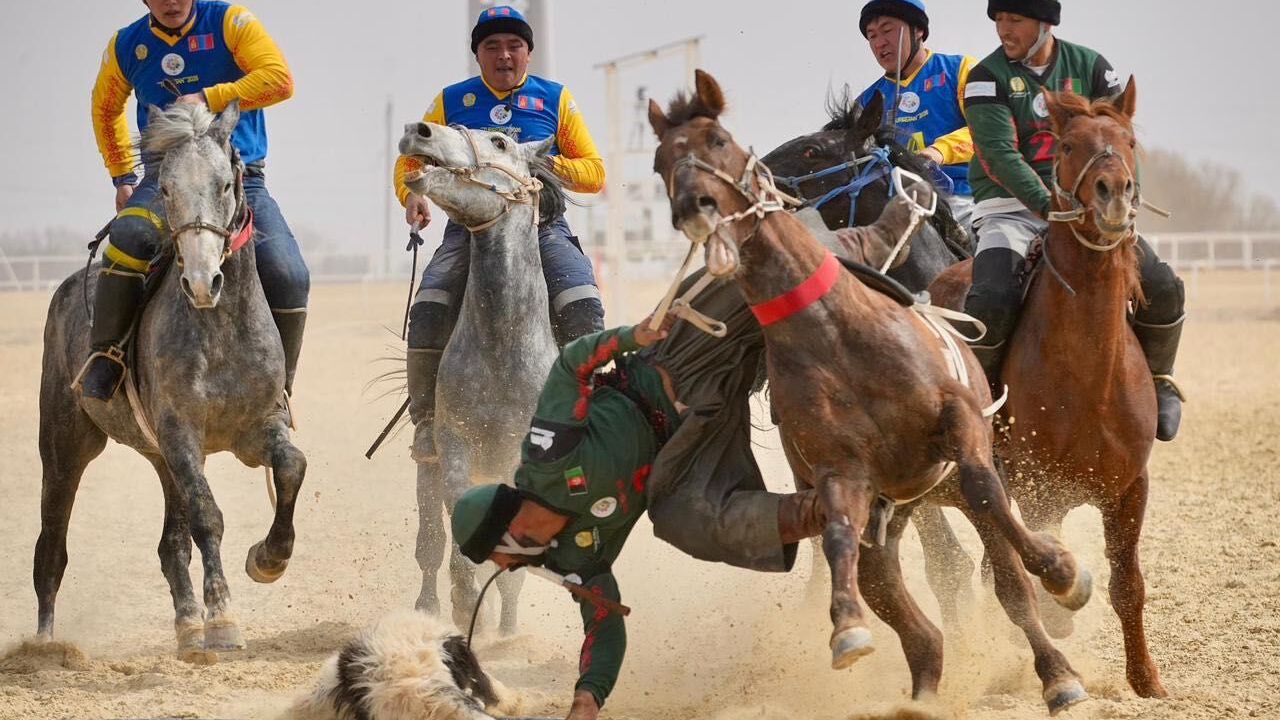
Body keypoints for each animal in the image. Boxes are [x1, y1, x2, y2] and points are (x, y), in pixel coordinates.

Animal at [35, 102, 305, 662]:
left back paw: (187, 628)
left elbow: (291, 467)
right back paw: (44, 648)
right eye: (164, 188)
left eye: (225, 184)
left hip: (161, 459)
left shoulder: (255, 430)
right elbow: (208, 518)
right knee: (51, 547)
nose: (202, 283)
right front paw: (223, 621)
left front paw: (268, 558)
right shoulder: (181, 435)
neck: (219, 328)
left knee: (170, 546)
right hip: (66, 445)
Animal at [397, 122, 561, 635]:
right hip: (425, 469)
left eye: (501, 143)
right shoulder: (455, 445)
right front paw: (467, 599)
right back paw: (430, 608)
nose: (419, 130)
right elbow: (456, 519)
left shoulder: (517, 460)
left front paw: (500, 623)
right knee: (429, 545)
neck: (501, 350)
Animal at [928, 80, 1168, 698]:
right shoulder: (1039, 493)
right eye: (1066, 146)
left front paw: (1146, 679)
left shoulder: (1130, 487)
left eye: (1129, 141)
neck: (1091, 376)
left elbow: (1128, 585)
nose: (1114, 194)